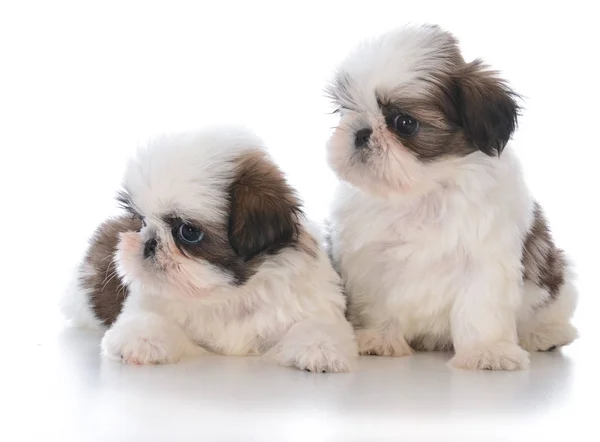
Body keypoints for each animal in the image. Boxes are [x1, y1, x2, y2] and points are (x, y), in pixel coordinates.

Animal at [62, 126, 356, 372]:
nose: (149, 242)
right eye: (142, 221)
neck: (227, 294)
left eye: (188, 232)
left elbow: (318, 325)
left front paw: (319, 349)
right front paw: (140, 341)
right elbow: (148, 320)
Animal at [326, 24, 580, 370]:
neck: (424, 190)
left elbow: (480, 309)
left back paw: (545, 333)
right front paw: (380, 339)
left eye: (404, 123)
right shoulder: (371, 261)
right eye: (343, 111)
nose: (360, 132)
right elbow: (379, 303)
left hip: (556, 277)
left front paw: (487, 352)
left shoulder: (486, 259)